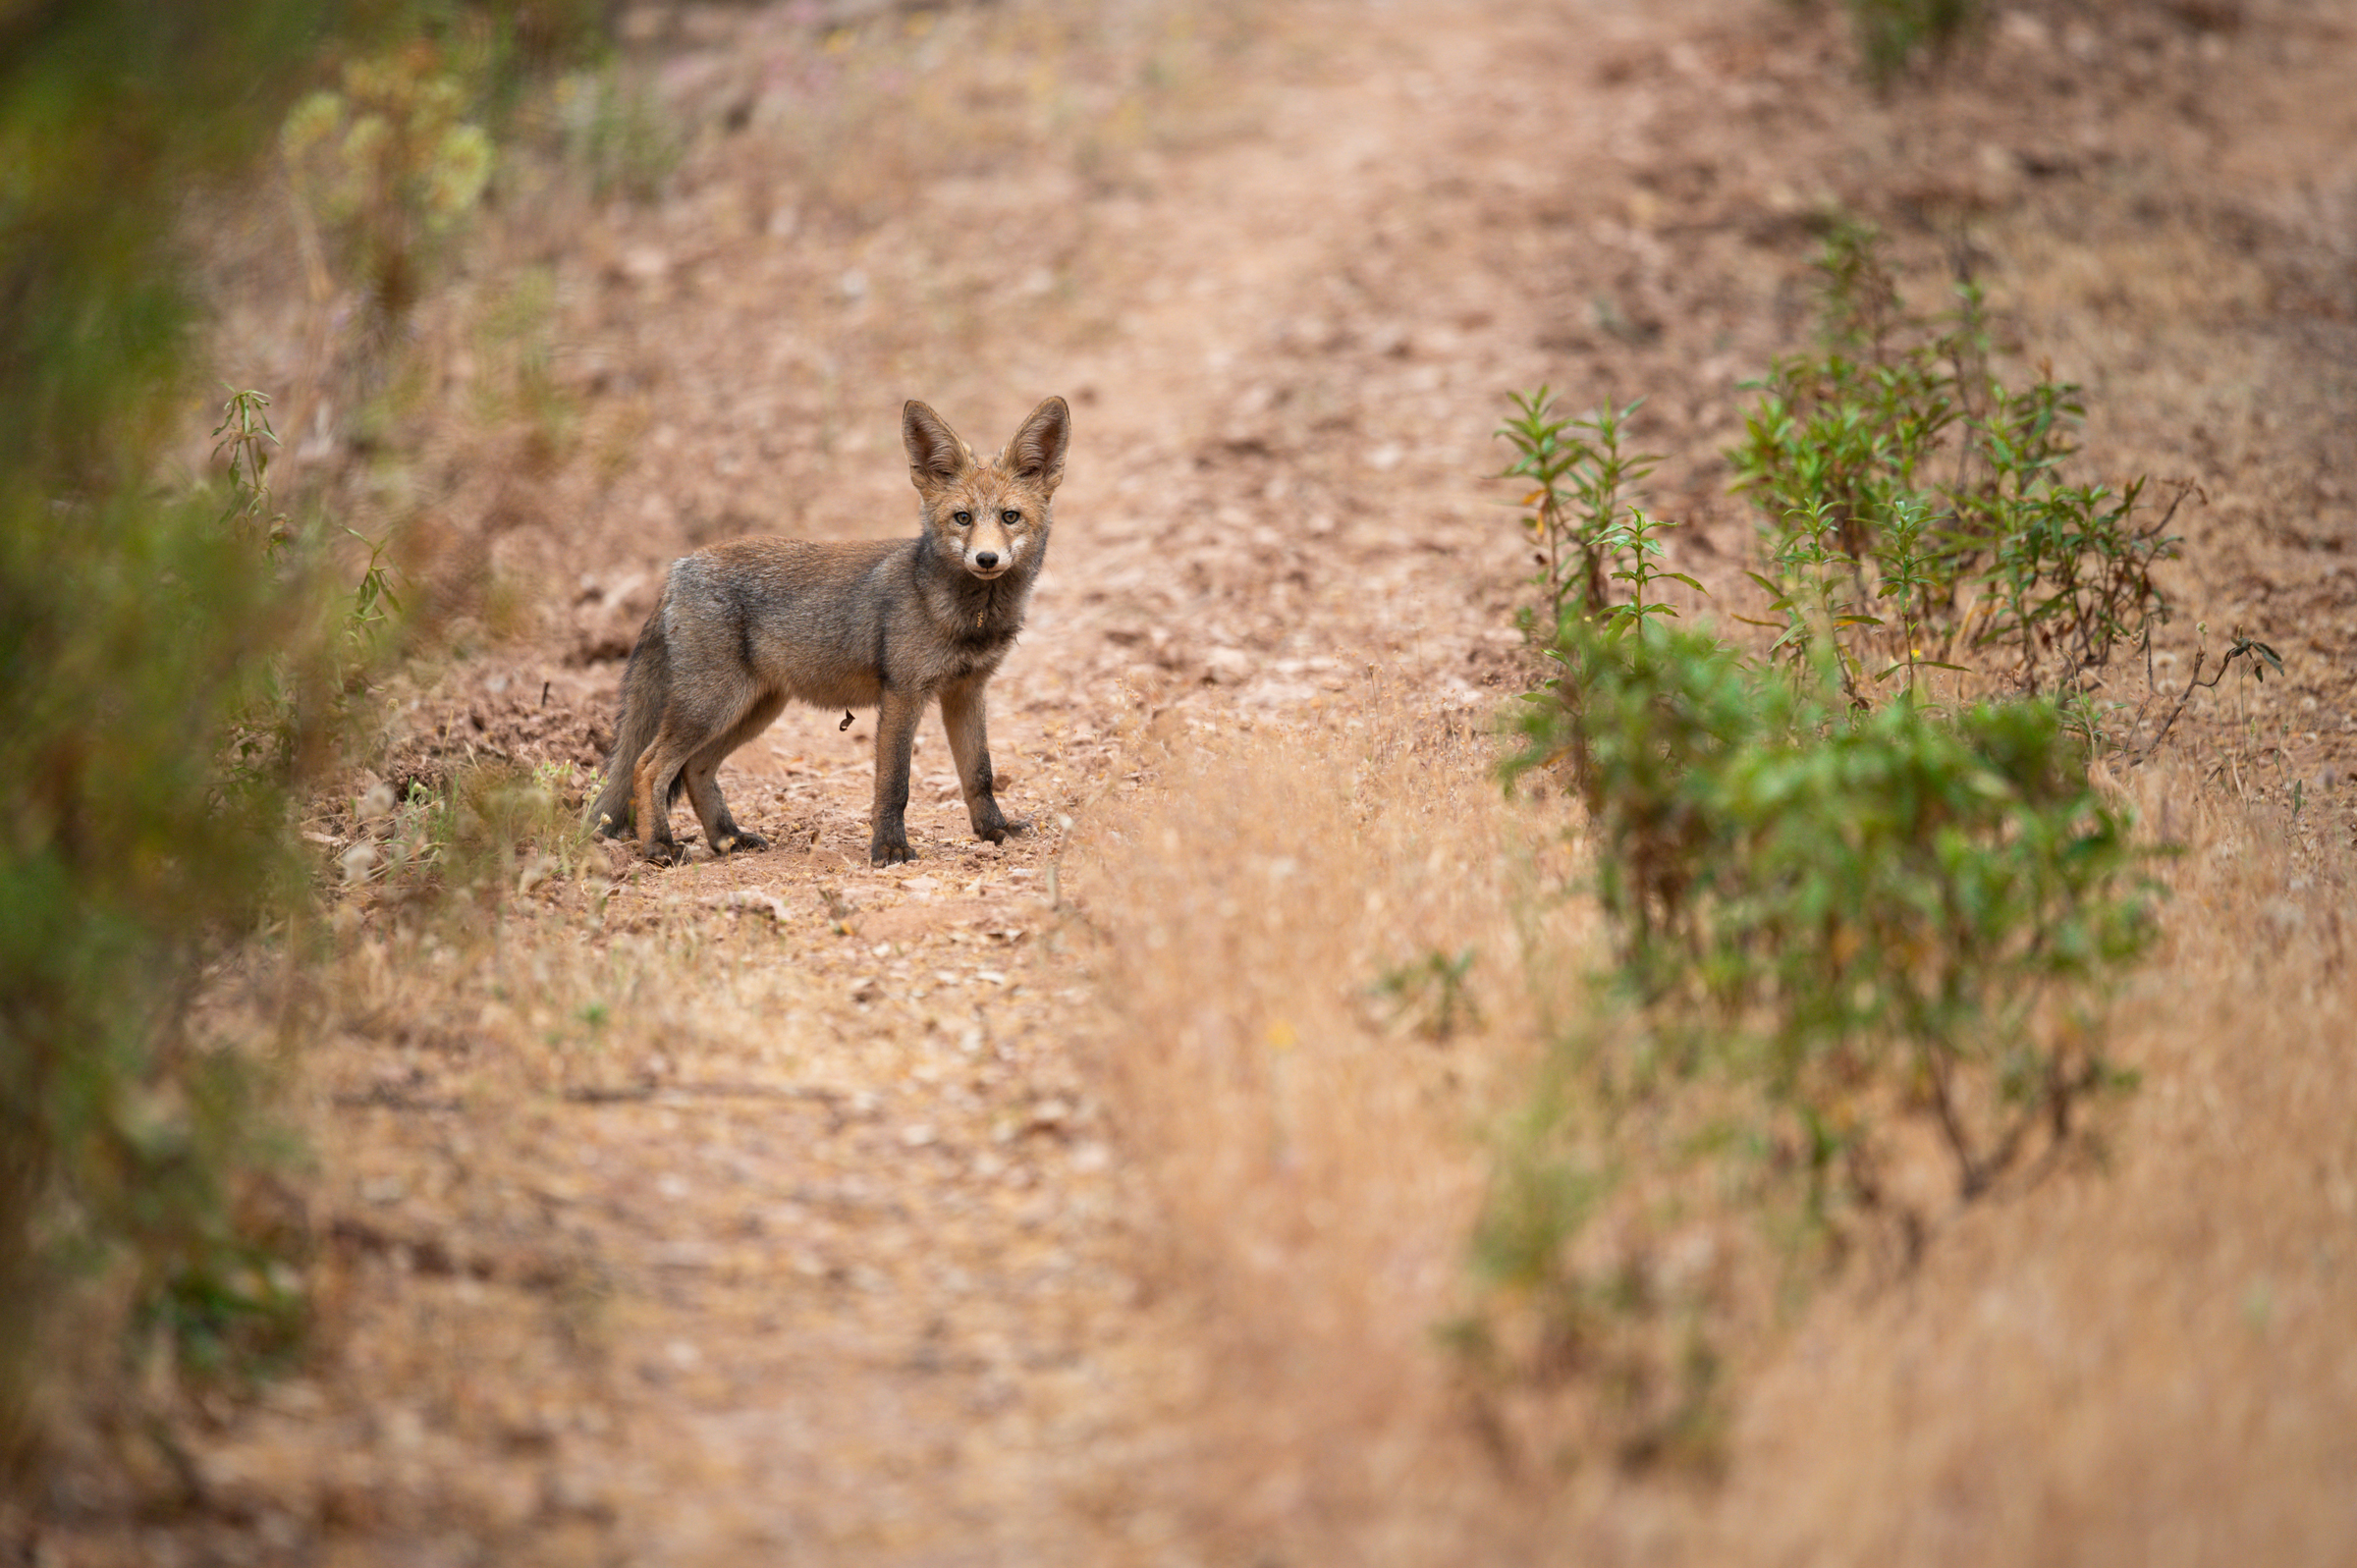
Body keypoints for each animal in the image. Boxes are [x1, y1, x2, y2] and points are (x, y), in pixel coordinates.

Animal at [588, 394, 1069, 867]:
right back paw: (659, 847)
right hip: (711, 705)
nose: (987, 559)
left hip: (753, 708)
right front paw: (890, 849)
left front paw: (995, 831)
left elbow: (980, 774)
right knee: (649, 766)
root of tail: (678, 568)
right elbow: (895, 784)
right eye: (963, 518)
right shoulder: (904, 693)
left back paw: (727, 838)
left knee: (695, 768)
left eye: (1010, 517)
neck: (965, 615)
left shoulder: (967, 690)